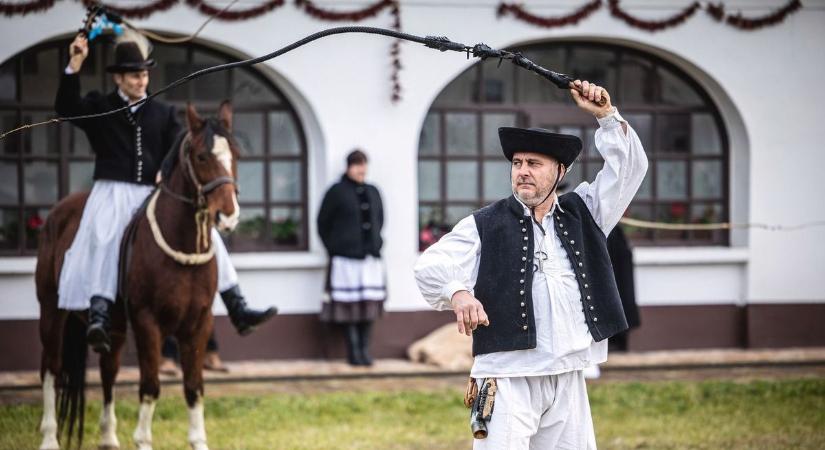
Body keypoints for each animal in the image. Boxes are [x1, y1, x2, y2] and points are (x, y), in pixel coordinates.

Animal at [36, 103, 241, 450]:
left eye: (236, 154)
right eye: (202, 157)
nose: (228, 216)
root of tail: (58, 211)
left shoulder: (198, 324)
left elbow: (194, 387)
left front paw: (198, 440)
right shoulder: (148, 322)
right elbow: (150, 385)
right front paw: (143, 440)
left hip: (114, 327)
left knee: (108, 371)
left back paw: (108, 437)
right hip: (52, 310)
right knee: (51, 368)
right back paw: (49, 437)